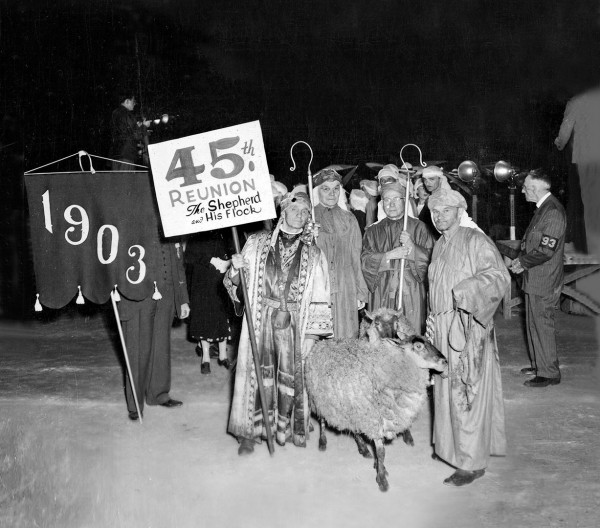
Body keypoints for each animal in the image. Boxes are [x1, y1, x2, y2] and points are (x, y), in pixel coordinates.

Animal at [304, 308, 446, 492]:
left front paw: (379, 467)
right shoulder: (374, 419)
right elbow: (382, 452)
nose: (444, 361)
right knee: (322, 419)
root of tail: (321, 343)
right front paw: (382, 478)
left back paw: (363, 448)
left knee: (354, 429)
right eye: (419, 346)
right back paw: (322, 442)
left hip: (349, 407)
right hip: (320, 398)